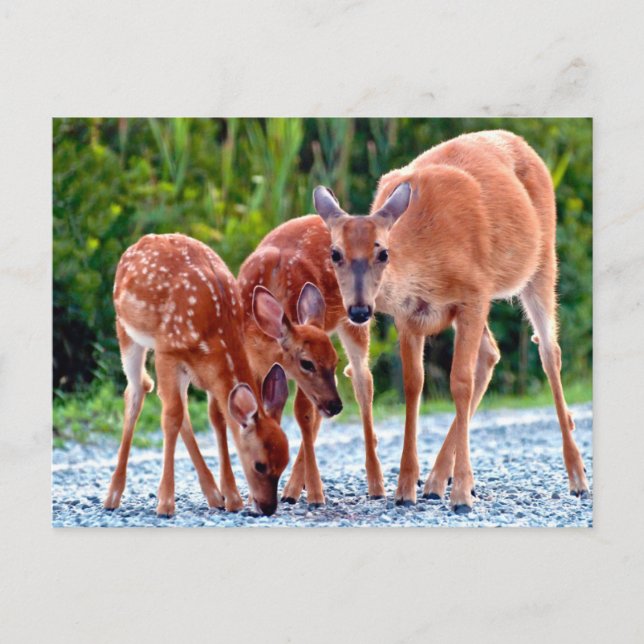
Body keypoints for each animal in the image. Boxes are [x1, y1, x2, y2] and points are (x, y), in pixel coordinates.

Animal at [104, 233, 290, 517]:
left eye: (285, 462)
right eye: (259, 465)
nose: (268, 507)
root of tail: (138, 243)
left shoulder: (208, 372)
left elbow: (217, 419)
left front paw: (232, 497)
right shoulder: (167, 351)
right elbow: (171, 418)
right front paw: (165, 503)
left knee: (178, 407)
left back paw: (214, 494)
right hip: (125, 330)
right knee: (138, 391)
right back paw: (113, 495)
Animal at [238, 219, 387, 506]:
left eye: (334, 359)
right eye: (307, 363)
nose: (336, 406)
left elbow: (303, 415)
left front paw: (317, 494)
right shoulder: (254, 362)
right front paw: (253, 496)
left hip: (356, 318)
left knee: (363, 381)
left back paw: (376, 485)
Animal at [313, 129, 590, 513]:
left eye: (383, 252)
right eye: (335, 253)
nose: (358, 310)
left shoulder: (473, 295)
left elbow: (459, 382)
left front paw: (460, 495)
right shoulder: (408, 317)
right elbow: (414, 384)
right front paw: (405, 488)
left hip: (543, 261)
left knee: (549, 353)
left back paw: (577, 479)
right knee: (491, 353)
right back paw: (433, 482)